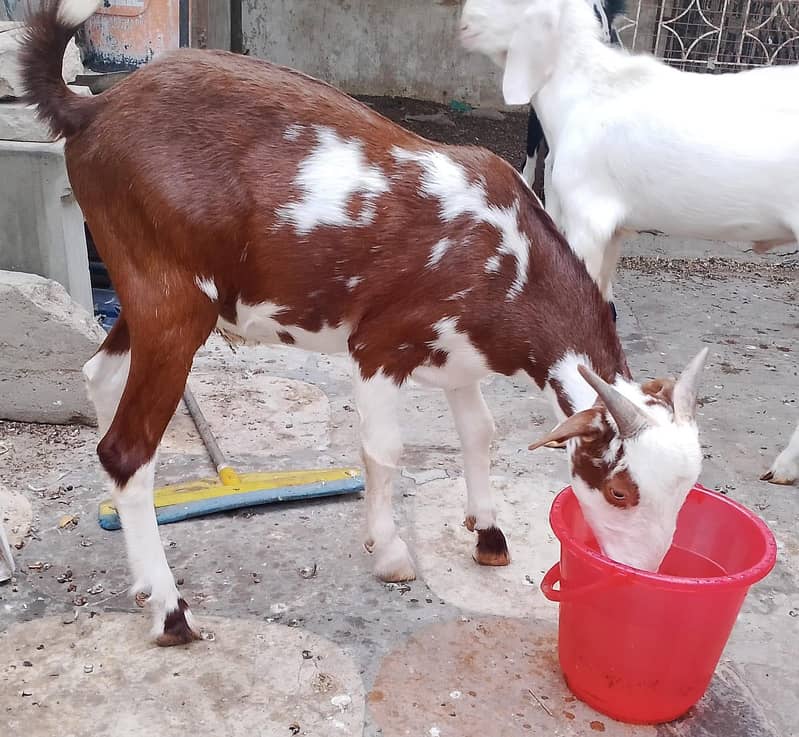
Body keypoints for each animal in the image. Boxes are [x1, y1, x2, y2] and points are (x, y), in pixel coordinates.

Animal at [23, 0, 708, 646]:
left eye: (685, 491)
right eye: (619, 492)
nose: (644, 576)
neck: (509, 256)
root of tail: (90, 110)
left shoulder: (461, 358)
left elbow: (480, 433)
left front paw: (487, 531)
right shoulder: (380, 346)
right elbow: (384, 449)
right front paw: (391, 553)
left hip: (148, 295)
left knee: (100, 375)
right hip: (173, 299)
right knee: (127, 447)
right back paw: (170, 612)